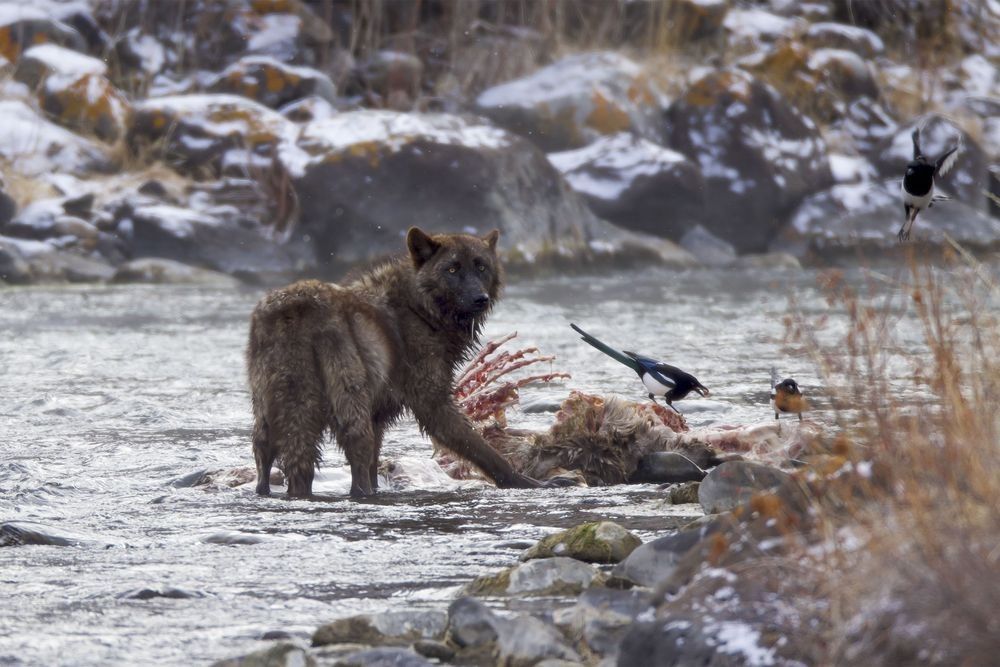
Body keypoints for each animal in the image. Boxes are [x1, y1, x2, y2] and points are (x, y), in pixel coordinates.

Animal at [245, 226, 539, 498]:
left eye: (481, 267)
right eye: (452, 269)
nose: (480, 298)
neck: (419, 308)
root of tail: (297, 309)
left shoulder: (378, 415)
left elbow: (376, 467)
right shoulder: (432, 403)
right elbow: (480, 449)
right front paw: (527, 482)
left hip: (268, 418)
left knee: (265, 461)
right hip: (351, 412)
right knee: (356, 471)